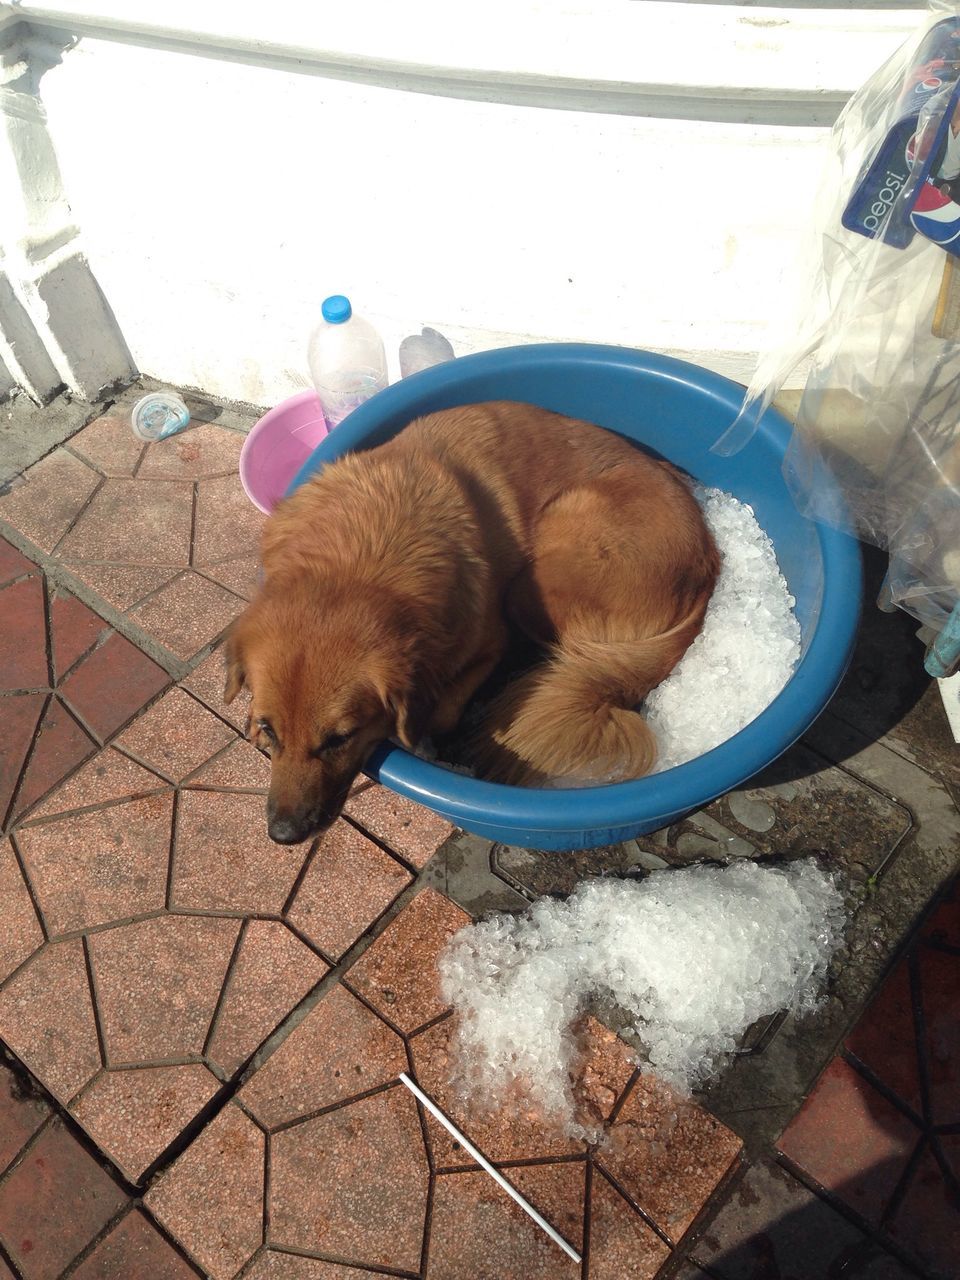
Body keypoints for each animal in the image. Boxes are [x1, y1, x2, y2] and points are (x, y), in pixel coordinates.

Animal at [227, 399, 721, 839]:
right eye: (271, 729)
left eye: (339, 738)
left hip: (532, 587)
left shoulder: (486, 641)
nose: (285, 834)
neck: (356, 558)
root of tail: (708, 565)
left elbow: (443, 711)